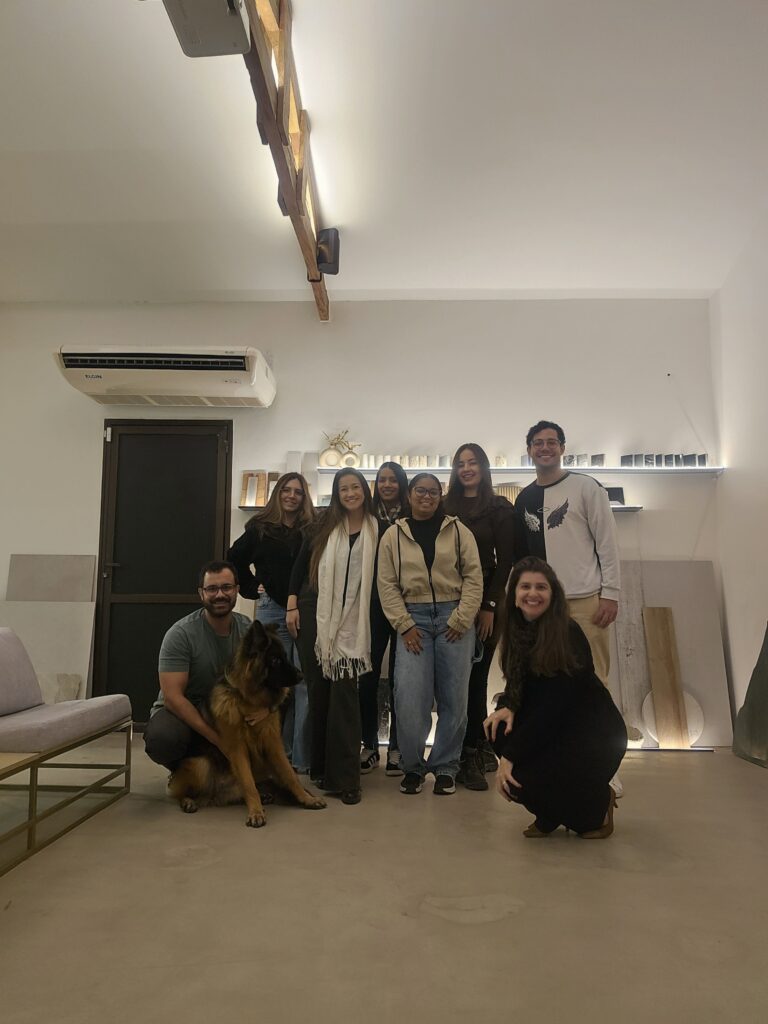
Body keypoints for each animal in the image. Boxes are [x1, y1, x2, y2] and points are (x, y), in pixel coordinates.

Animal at [168, 619, 326, 827]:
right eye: (275, 660)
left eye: (285, 656)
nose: (301, 676)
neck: (249, 701)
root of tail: (216, 795)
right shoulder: (237, 749)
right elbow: (249, 784)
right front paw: (256, 812)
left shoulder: (273, 744)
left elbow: (291, 776)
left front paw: (307, 798)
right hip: (200, 765)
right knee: (178, 791)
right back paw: (188, 801)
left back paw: (265, 795)